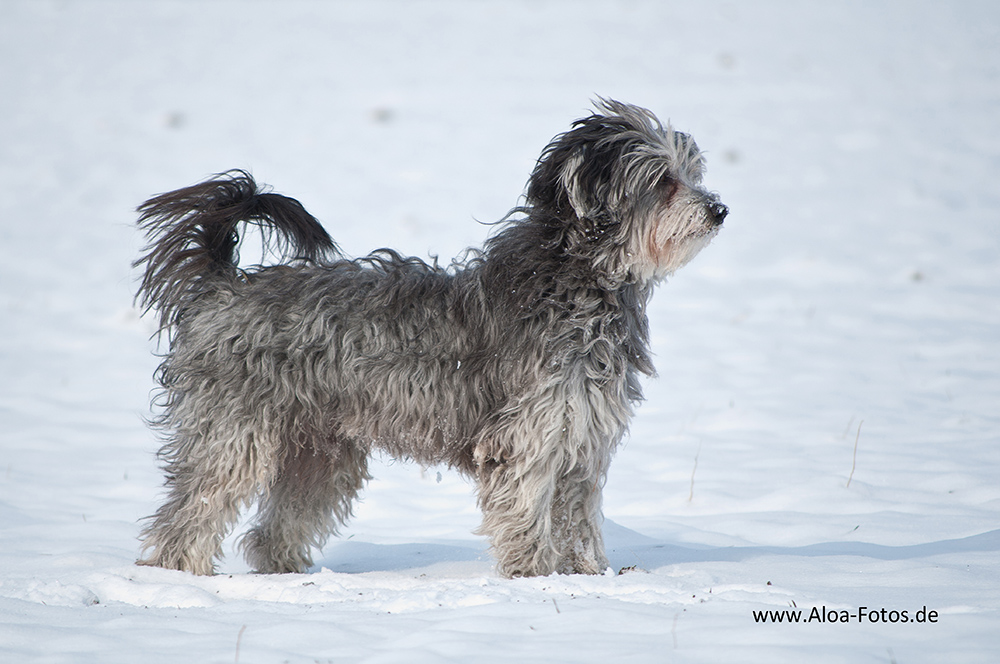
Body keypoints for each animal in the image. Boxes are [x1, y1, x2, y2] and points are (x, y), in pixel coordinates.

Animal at [135, 98, 728, 576]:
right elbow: (527, 510)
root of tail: (222, 284)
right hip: (235, 432)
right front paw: (534, 577)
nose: (719, 209)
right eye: (664, 180)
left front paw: (587, 576)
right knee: (188, 514)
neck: (577, 279)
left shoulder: (581, 434)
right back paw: (179, 577)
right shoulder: (529, 435)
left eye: (692, 172)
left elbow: (577, 518)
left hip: (318, 449)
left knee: (274, 527)